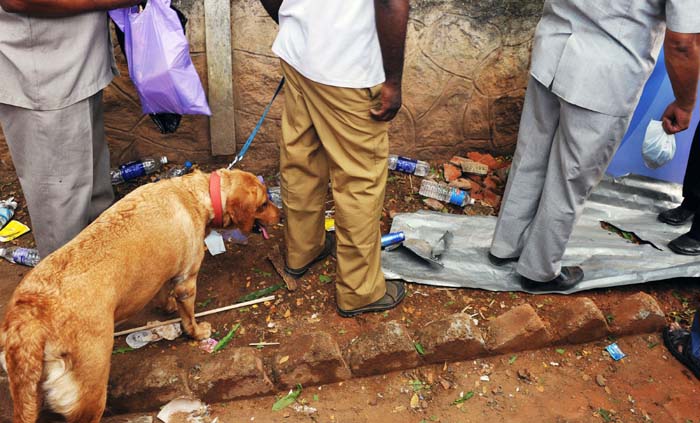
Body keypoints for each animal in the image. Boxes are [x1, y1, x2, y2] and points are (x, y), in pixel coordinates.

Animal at [0, 170, 278, 423]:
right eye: (264, 203)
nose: (281, 213)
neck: (196, 193)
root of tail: (30, 317)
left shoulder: (166, 272)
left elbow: (164, 293)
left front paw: (167, 307)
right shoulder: (187, 281)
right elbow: (188, 317)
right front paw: (198, 332)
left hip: (31, 392)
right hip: (91, 392)